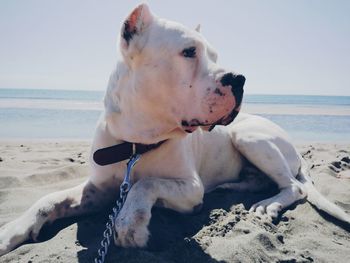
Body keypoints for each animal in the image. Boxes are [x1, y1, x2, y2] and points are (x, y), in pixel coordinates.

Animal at [0, 3, 350, 256]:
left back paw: (269, 204)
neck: (135, 144)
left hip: (249, 136)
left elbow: (146, 184)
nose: (239, 78)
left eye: (215, 56)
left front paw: (130, 223)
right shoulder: (96, 189)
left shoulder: (189, 188)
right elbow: (48, 199)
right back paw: (232, 186)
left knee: (294, 187)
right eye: (189, 52)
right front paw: (11, 231)